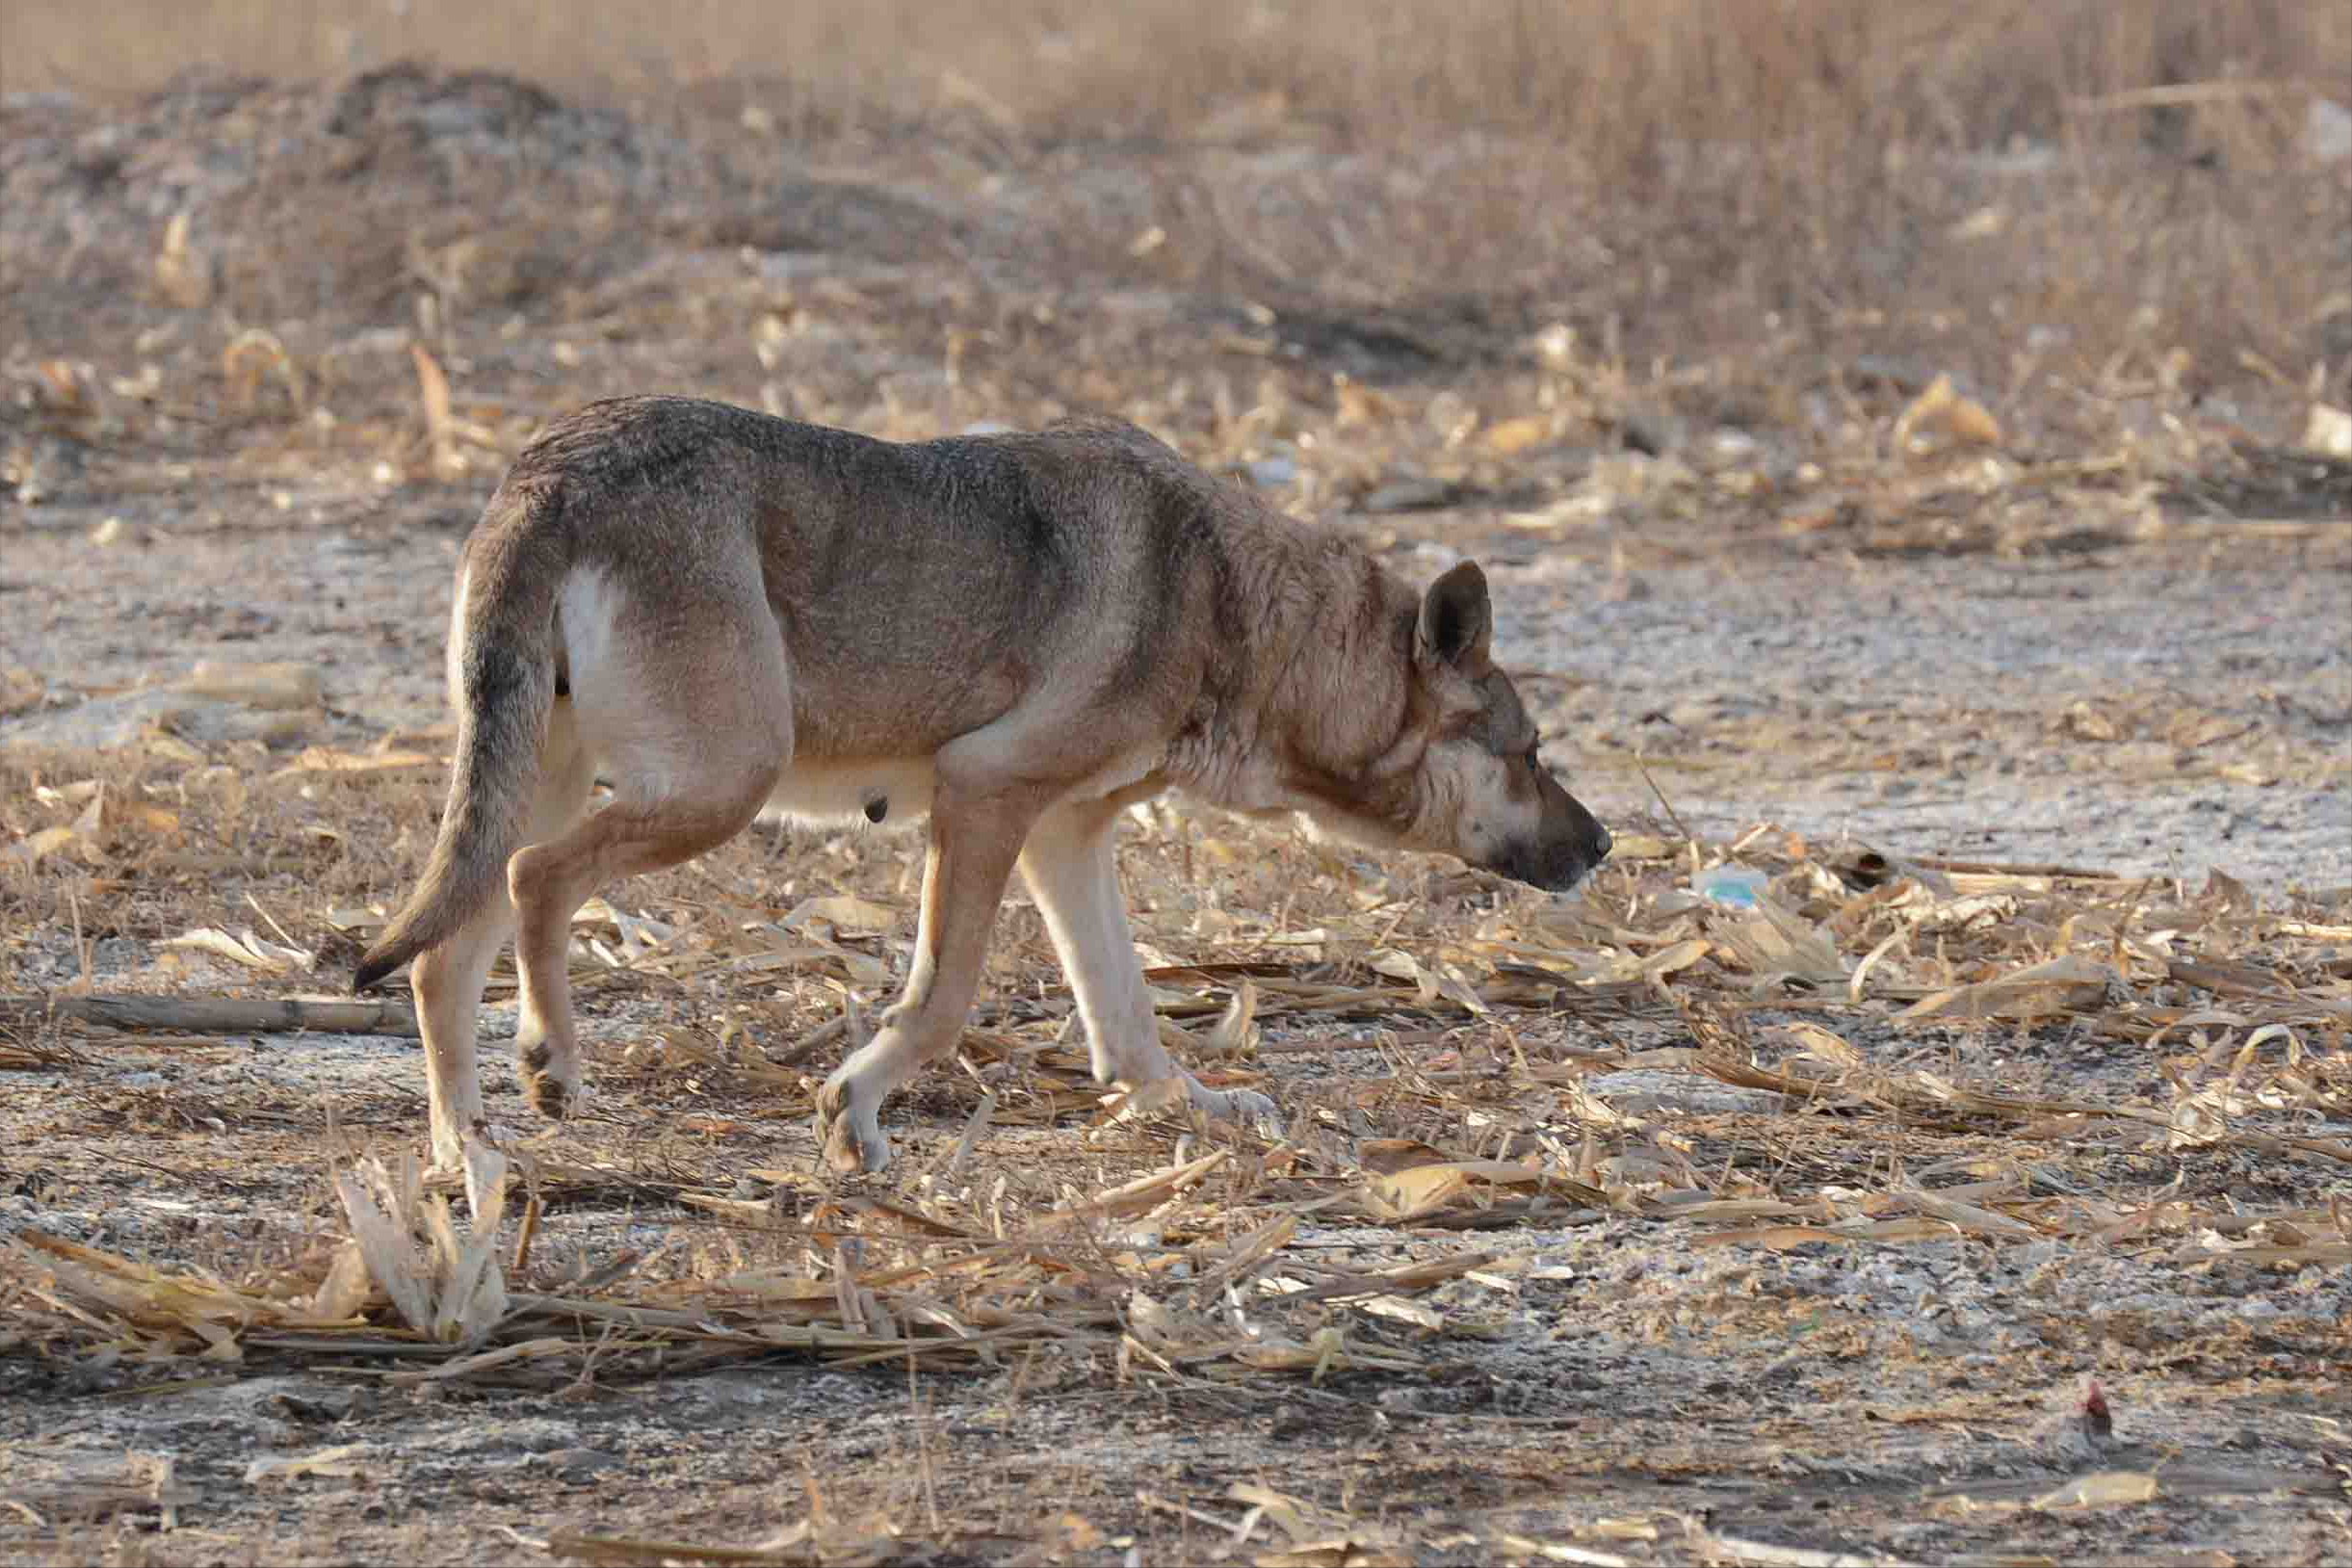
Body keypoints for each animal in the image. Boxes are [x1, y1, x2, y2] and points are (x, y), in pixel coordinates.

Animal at [353, 399, 1618, 1170]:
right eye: (1531, 751)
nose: (1604, 844)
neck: (1237, 603)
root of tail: (553, 466)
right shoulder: (984, 794)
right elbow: (943, 999)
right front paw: (854, 1111)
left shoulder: (1067, 835)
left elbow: (1127, 1024)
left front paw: (1195, 1106)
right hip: (715, 787)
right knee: (534, 881)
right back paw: (550, 1066)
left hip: (564, 781)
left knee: (439, 956)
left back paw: (467, 1155)